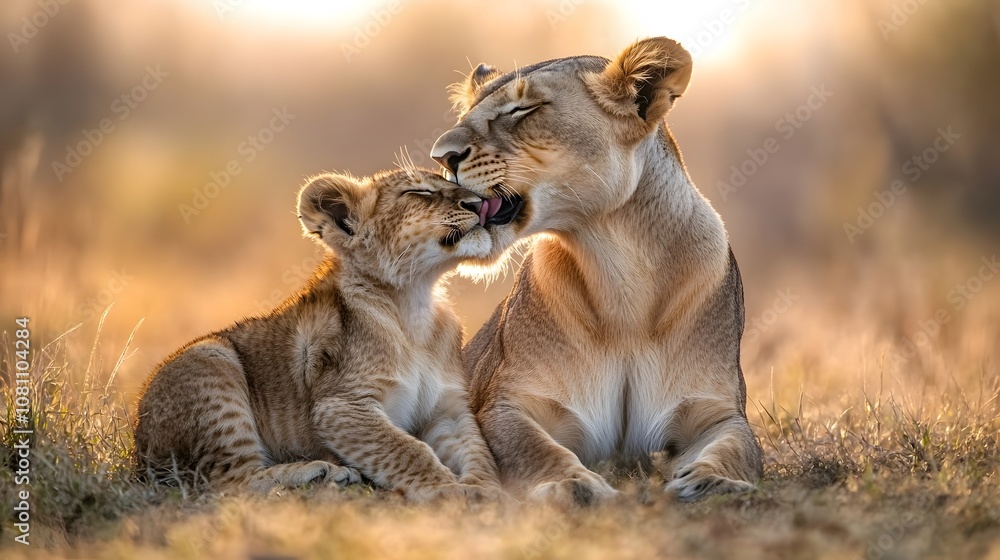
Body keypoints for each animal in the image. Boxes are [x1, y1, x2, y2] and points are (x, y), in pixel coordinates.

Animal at [430, 37, 763, 504]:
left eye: (523, 109)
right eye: (466, 113)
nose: (441, 157)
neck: (621, 273)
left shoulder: (715, 410)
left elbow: (738, 448)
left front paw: (710, 482)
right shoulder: (506, 404)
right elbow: (532, 448)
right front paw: (573, 484)